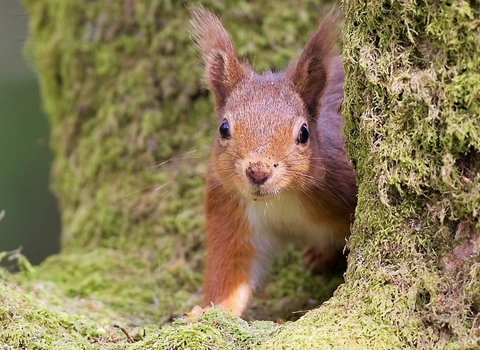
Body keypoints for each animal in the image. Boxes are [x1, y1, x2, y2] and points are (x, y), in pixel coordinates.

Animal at [190, 8, 356, 316]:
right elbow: (230, 271)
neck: (281, 199)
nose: (259, 171)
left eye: (304, 133)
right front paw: (208, 312)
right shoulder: (230, 209)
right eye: (223, 128)